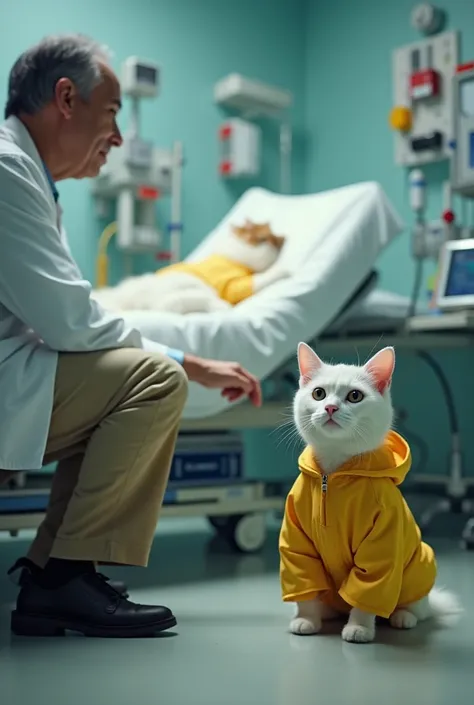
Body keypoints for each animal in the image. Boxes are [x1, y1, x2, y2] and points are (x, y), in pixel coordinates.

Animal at [90, 220, 286, 314]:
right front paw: (281, 270)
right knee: (175, 303)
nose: (279, 240)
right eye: (264, 237)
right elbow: (260, 276)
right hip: (193, 289)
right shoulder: (234, 283)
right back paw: (220, 307)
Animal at [278, 342, 462, 644]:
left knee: (418, 607)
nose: (330, 407)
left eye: (355, 396)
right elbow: (304, 581)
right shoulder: (296, 541)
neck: (333, 476)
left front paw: (359, 628)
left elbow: (368, 591)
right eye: (318, 393)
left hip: (419, 567)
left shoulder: (382, 544)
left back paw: (403, 617)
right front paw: (306, 619)